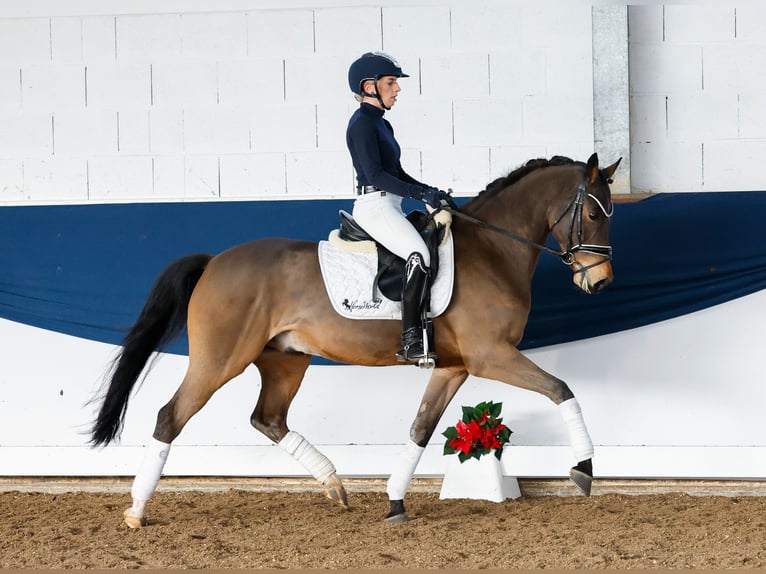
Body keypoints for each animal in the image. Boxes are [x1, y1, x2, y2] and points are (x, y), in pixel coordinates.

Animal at [90, 152, 620, 528]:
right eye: (595, 216)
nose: (601, 283)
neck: (492, 250)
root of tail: (215, 260)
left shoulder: (455, 367)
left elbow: (420, 429)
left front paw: (395, 502)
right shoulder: (492, 356)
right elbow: (561, 390)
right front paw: (584, 469)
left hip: (285, 360)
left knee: (268, 418)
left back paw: (334, 485)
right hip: (220, 360)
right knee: (170, 417)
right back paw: (136, 512)